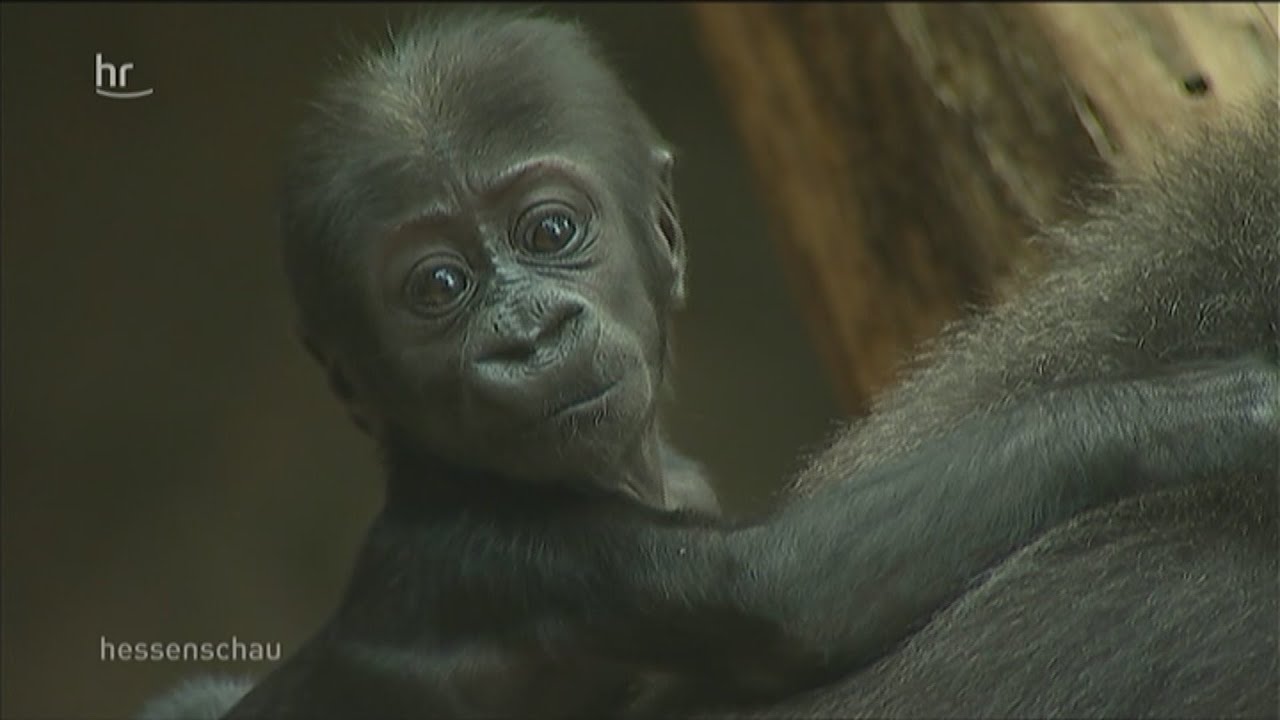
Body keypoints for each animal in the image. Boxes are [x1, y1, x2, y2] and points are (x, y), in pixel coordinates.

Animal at [138, 10, 1279, 720]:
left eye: (550, 230)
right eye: (438, 288)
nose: (526, 335)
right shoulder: (490, 560)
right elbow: (782, 590)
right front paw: (1184, 416)